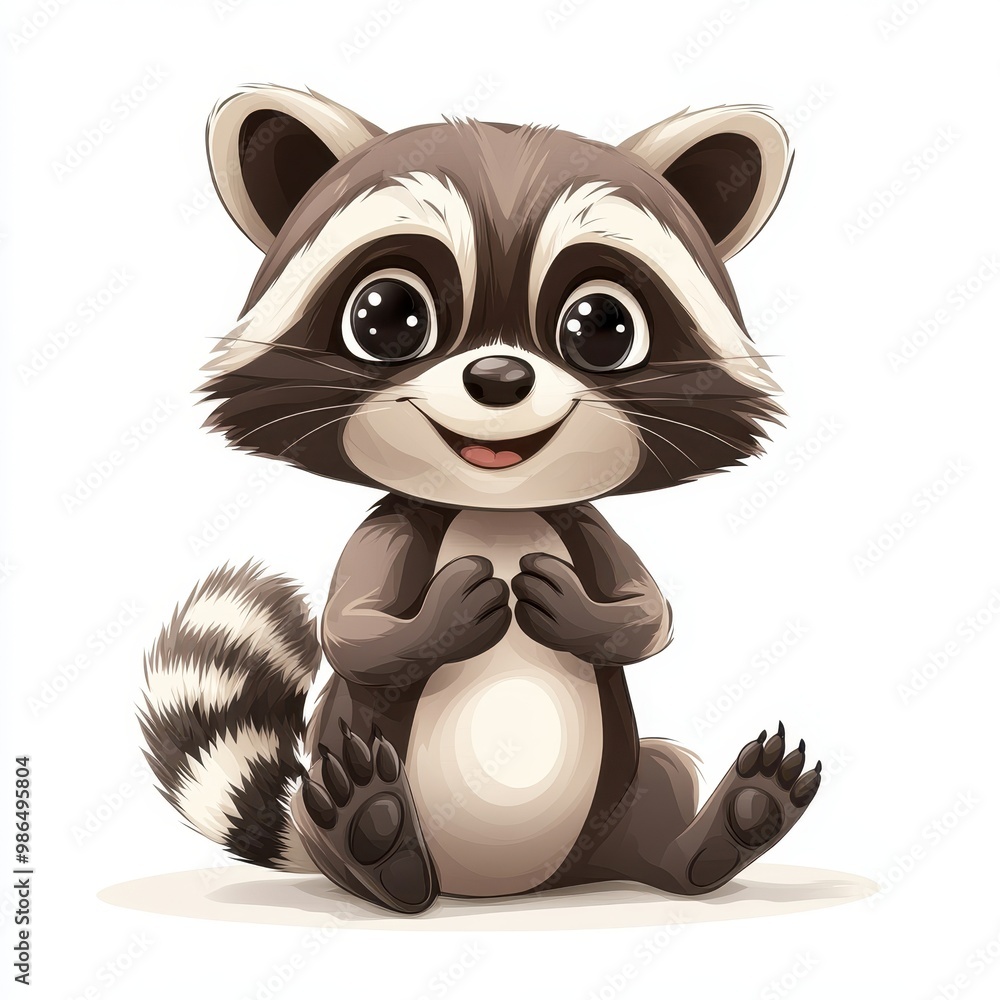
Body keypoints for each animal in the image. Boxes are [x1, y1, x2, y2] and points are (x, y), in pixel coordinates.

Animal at [139, 85, 820, 913]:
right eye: (387, 315)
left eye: (604, 326)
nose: (500, 377)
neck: (498, 507)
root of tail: (507, 888)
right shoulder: (397, 522)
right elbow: (351, 631)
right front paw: (444, 618)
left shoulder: (581, 520)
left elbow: (649, 614)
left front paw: (584, 615)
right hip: (341, 781)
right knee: (344, 812)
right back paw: (379, 847)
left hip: (618, 802)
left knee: (663, 778)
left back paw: (718, 836)